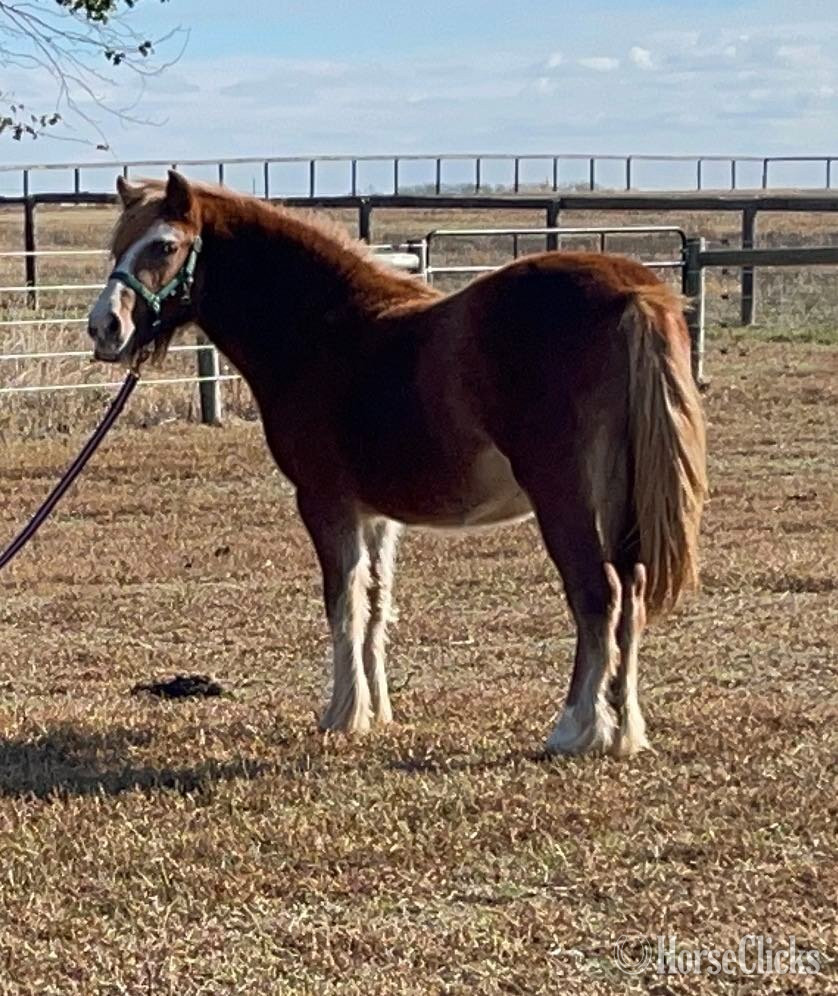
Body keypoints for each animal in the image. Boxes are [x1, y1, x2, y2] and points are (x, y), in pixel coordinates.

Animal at [88, 170, 706, 757]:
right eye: (116, 245)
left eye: (165, 245)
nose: (104, 327)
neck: (324, 331)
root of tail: (633, 293)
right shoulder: (376, 514)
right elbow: (375, 605)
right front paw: (377, 710)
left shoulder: (325, 503)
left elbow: (342, 603)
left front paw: (341, 715)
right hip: (623, 502)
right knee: (631, 596)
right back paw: (624, 728)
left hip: (565, 498)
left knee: (597, 596)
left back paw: (578, 729)